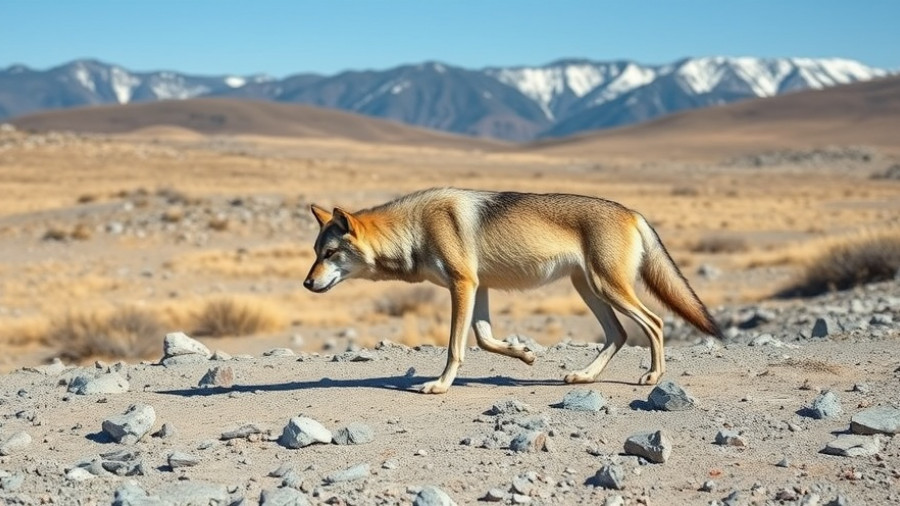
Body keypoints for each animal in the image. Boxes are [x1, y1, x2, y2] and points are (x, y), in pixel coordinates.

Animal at [304, 188, 721, 394]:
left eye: (330, 253)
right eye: (315, 253)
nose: (307, 283)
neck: (416, 228)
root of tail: (634, 212)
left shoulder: (463, 285)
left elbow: (455, 347)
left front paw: (440, 385)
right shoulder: (480, 287)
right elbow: (485, 338)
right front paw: (524, 354)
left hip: (608, 289)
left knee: (654, 323)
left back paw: (652, 377)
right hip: (589, 290)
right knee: (618, 334)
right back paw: (584, 377)